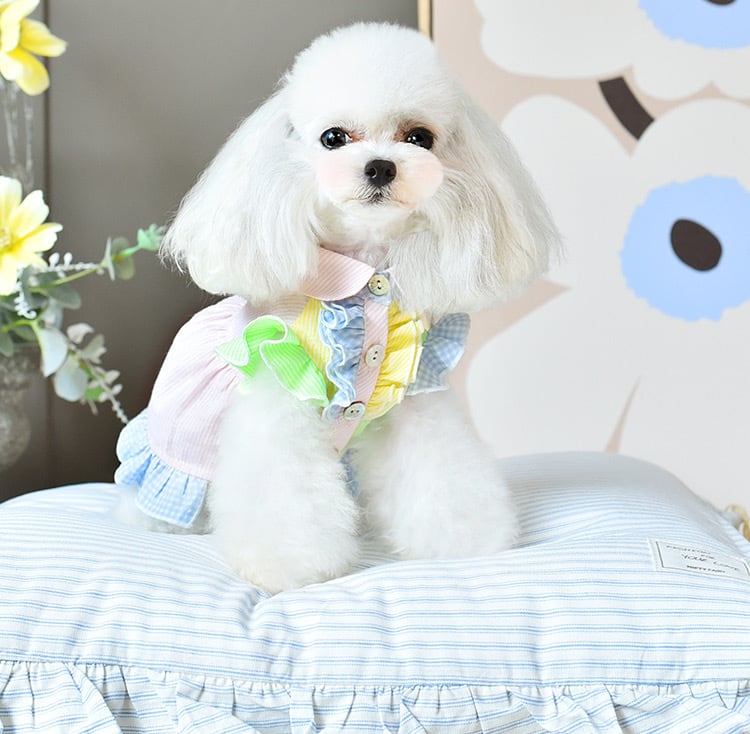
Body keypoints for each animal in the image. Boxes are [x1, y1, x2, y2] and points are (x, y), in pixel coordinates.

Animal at [115, 22, 559, 593]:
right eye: (333, 138)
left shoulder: (415, 396)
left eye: (419, 138)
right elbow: (283, 492)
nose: (381, 166)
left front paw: (461, 537)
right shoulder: (277, 391)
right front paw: (289, 565)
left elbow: (439, 470)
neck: (364, 279)